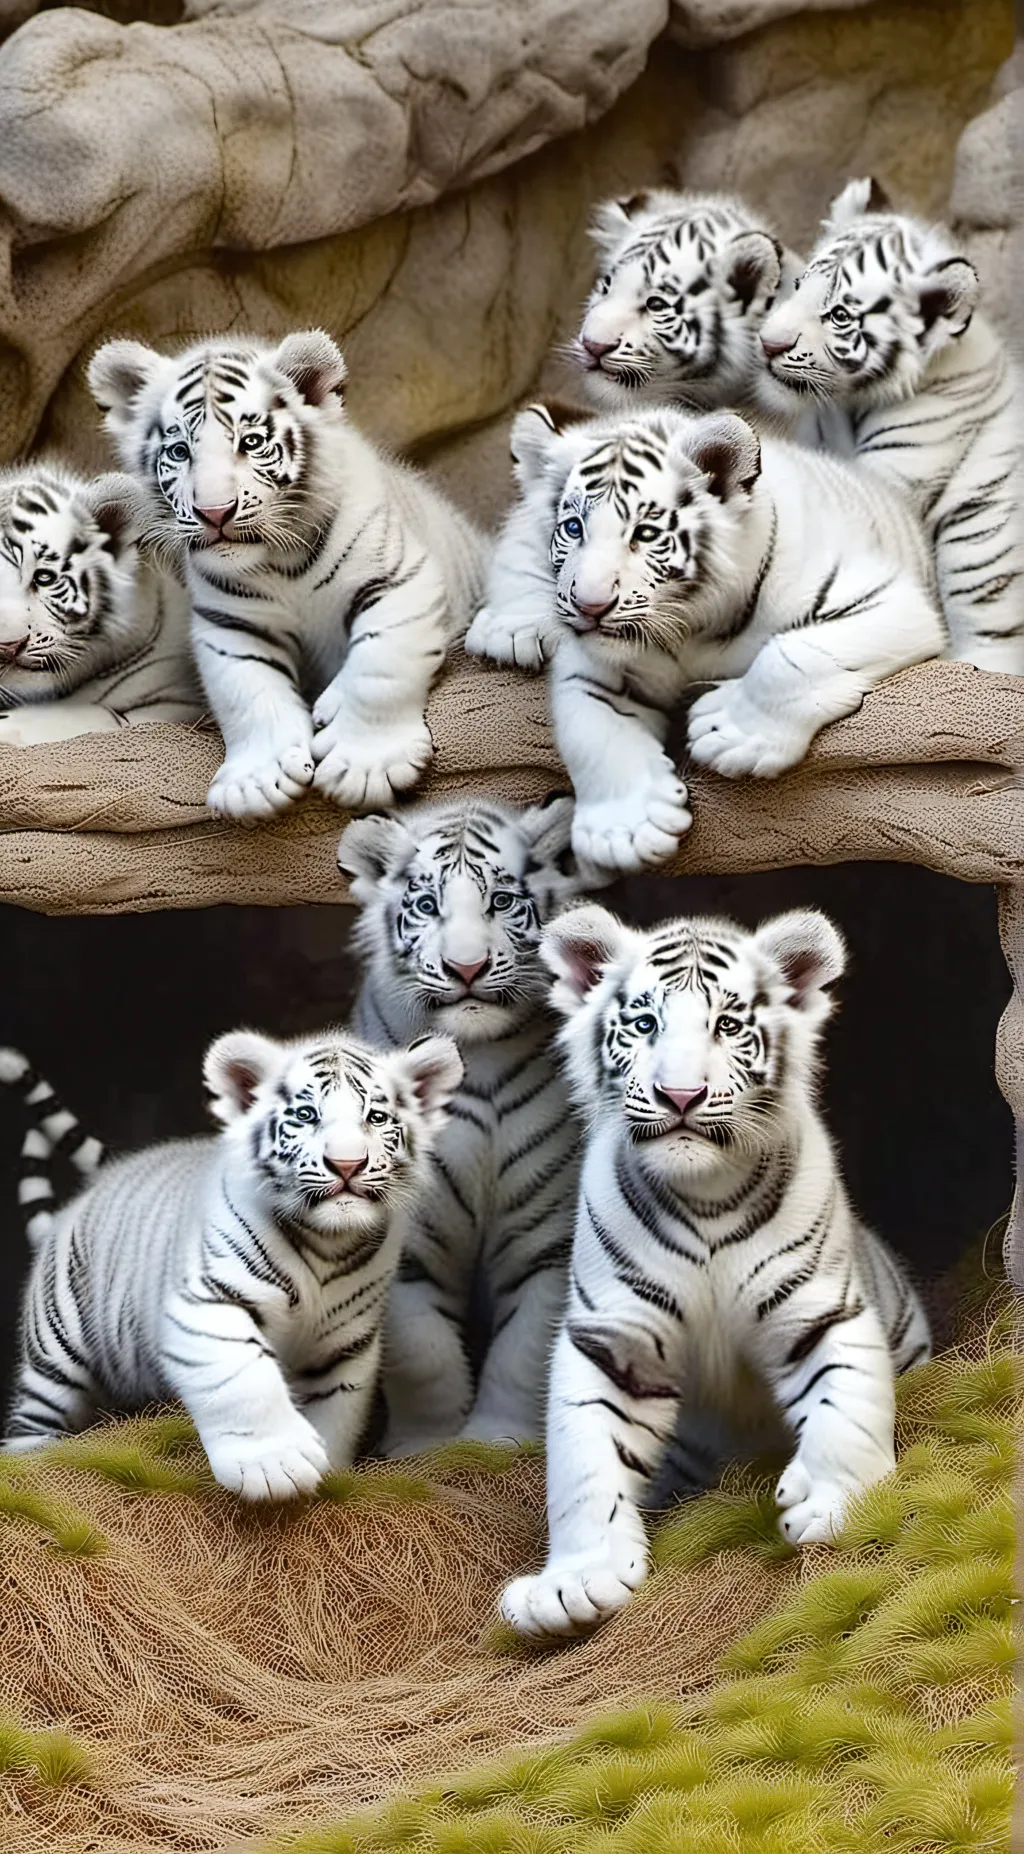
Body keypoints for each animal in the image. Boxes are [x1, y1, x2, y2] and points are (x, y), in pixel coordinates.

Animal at [1, 1028, 463, 1499]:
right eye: (306, 1115)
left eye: (377, 1117)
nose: (347, 1165)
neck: (329, 1241)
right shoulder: (209, 1305)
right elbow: (242, 1380)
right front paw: (275, 1467)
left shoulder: (345, 1342)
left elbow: (334, 1407)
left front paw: (324, 1474)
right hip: (56, 1353)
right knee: (32, 1420)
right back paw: (31, 1473)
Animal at [87, 330, 487, 822]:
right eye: (179, 452)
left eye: (252, 442)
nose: (214, 513)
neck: (281, 563)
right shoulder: (230, 623)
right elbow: (247, 692)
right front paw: (258, 780)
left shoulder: (398, 580)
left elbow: (380, 668)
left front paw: (364, 766)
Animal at [338, 795, 584, 1454]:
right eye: (427, 906)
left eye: (500, 901)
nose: (467, 968)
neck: (476, 1056)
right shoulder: (402, 1237)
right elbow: (422, 1353)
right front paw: (426, 1449)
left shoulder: (545, 1236)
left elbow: (524, 1349)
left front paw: (497, 1442)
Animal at [465, 403, 944, 875]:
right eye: (573, 528)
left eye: (645, 533)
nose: (590, 605)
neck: (687, 627)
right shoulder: (592, 671)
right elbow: (591, 728)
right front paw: (624, 830)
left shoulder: (890, 603)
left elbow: (792, 656)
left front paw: (731, 733)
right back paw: (512, 626)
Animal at [500, 901, 930, 1637]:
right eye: (645, 1023)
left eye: (727, 1026)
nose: (680, 1096)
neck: (705, 1193)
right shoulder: (612, 1339)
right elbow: (585, 1463)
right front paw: (577, 1581)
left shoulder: (820, 1308)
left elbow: (847, 1405)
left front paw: (831, 1502)